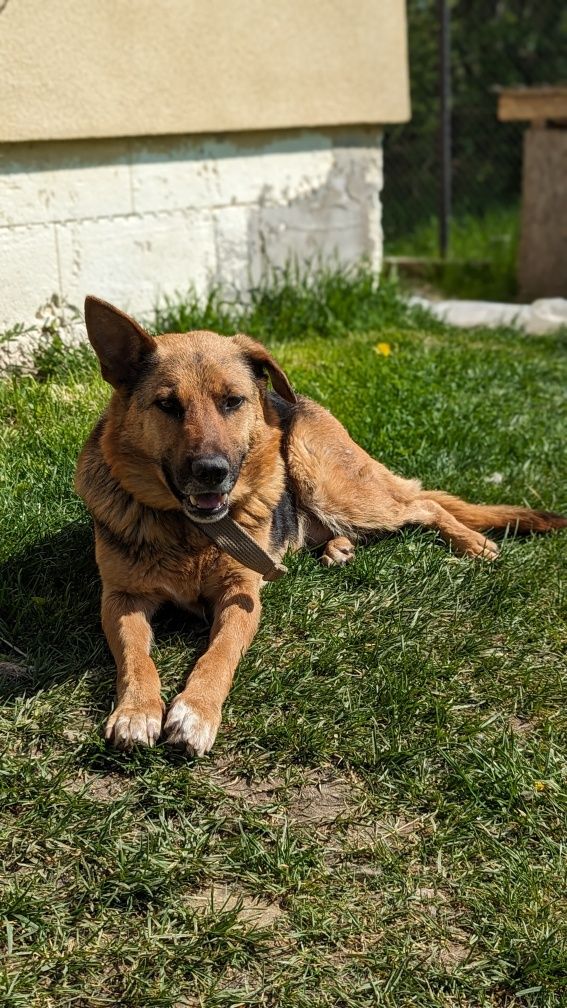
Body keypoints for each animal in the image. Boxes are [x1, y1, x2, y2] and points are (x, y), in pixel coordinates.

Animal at [76, 294, 564, 753]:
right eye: (167, 405)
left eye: (232, 401)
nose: (212, 471)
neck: (192, 532)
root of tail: (295, 403)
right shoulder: (121, 599)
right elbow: (136, 657)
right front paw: (137, 710)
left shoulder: (242, 596)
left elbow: (218, 654)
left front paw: (196, 710)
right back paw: (337, 548)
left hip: (327, 480)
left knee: (424, 503)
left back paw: (471, 543)